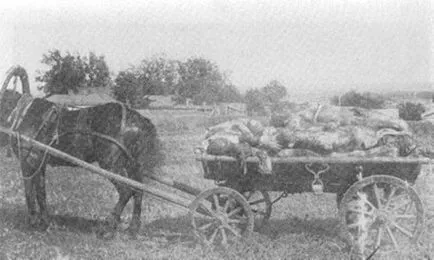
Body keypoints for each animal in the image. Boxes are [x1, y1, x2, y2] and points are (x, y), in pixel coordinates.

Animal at [0, 88, 163, 239]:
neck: (23, 114)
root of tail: (137, 119)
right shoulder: (39, 163)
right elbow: (41, 192)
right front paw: (44, 222)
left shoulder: (27, 161)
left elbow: (29, 192)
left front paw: (32, 222)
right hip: (133, 165)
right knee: (138, 190)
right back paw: (133, 228)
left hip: (110, 165)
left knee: (126, 191)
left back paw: (108, 227)